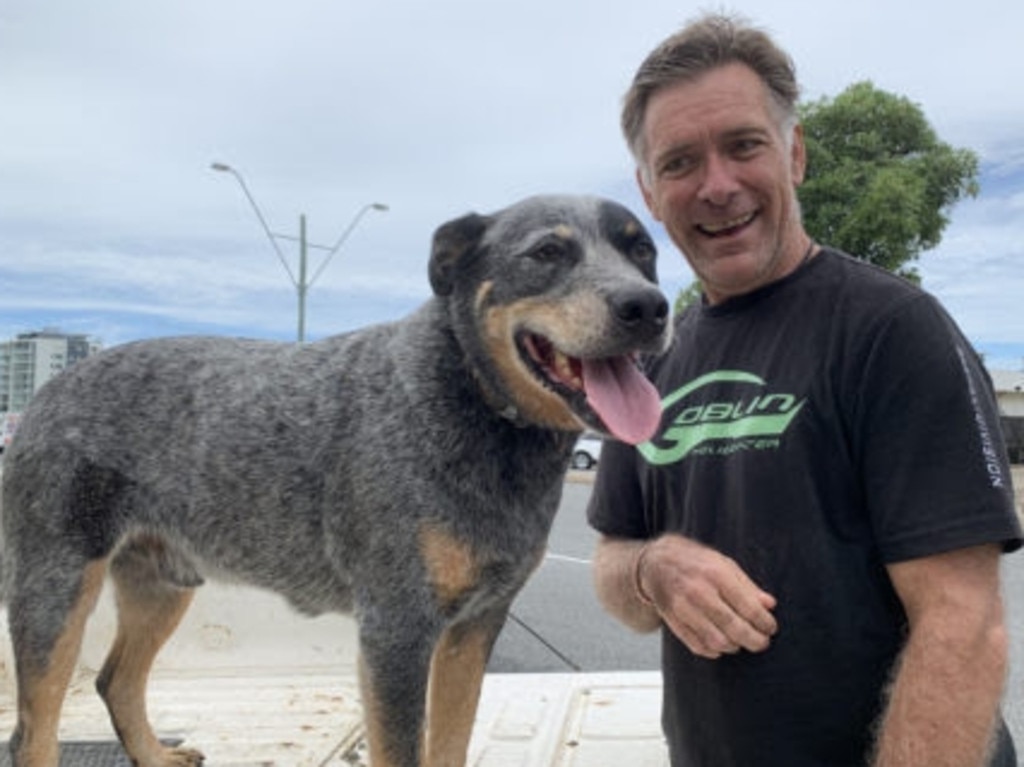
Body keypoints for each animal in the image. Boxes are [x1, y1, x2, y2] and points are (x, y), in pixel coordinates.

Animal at [2, 195, 671, 765]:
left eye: (643, 250)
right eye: (547, 252)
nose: (648, 307)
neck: (473, 399)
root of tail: (45, 394)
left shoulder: (474, 627)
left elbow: (452, 742)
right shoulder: (397, 631)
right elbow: (405, 750)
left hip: (162, 584)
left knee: (115, 680)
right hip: (55, 590)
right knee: (33, 730)